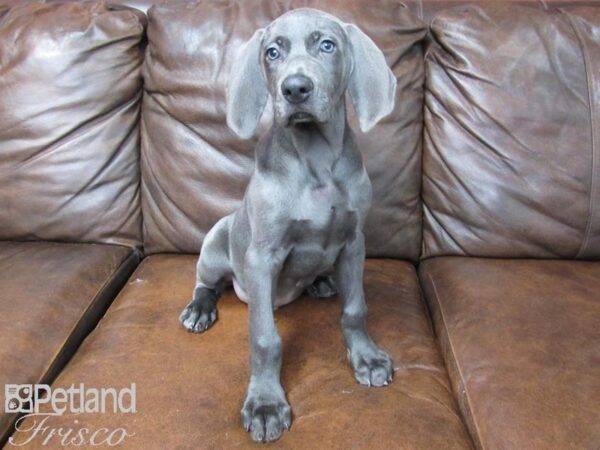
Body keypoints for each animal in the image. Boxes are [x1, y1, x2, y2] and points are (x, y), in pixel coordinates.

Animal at [179, 7, 398, 442]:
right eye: (272, 52)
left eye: (327, 45)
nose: (295, 89)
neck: (316, 161)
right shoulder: (262, 256)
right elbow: (265, 338)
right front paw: (265, 403)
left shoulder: (354, 242)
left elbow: (355, 309)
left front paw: (366, 357)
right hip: (216, 241)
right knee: (207, 282)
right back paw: (199, 309)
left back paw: (320, 282)